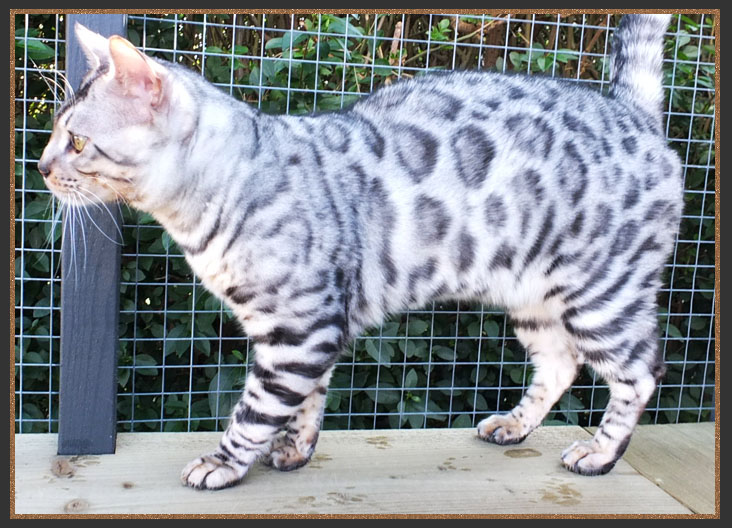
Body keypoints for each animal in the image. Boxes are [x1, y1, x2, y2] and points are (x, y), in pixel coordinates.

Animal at [38, 13, 680, 490]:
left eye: (78, 141)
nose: (41, 167)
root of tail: (632, 112)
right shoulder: (314, 326)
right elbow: (307, 400)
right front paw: (294, 449)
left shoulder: (300, 326)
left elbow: (258, 407)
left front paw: (224, 461)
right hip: (531, 297)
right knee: (560, 363)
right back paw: (514, 426)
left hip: (600, 296)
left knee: (641, 371)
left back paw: (599, 454)